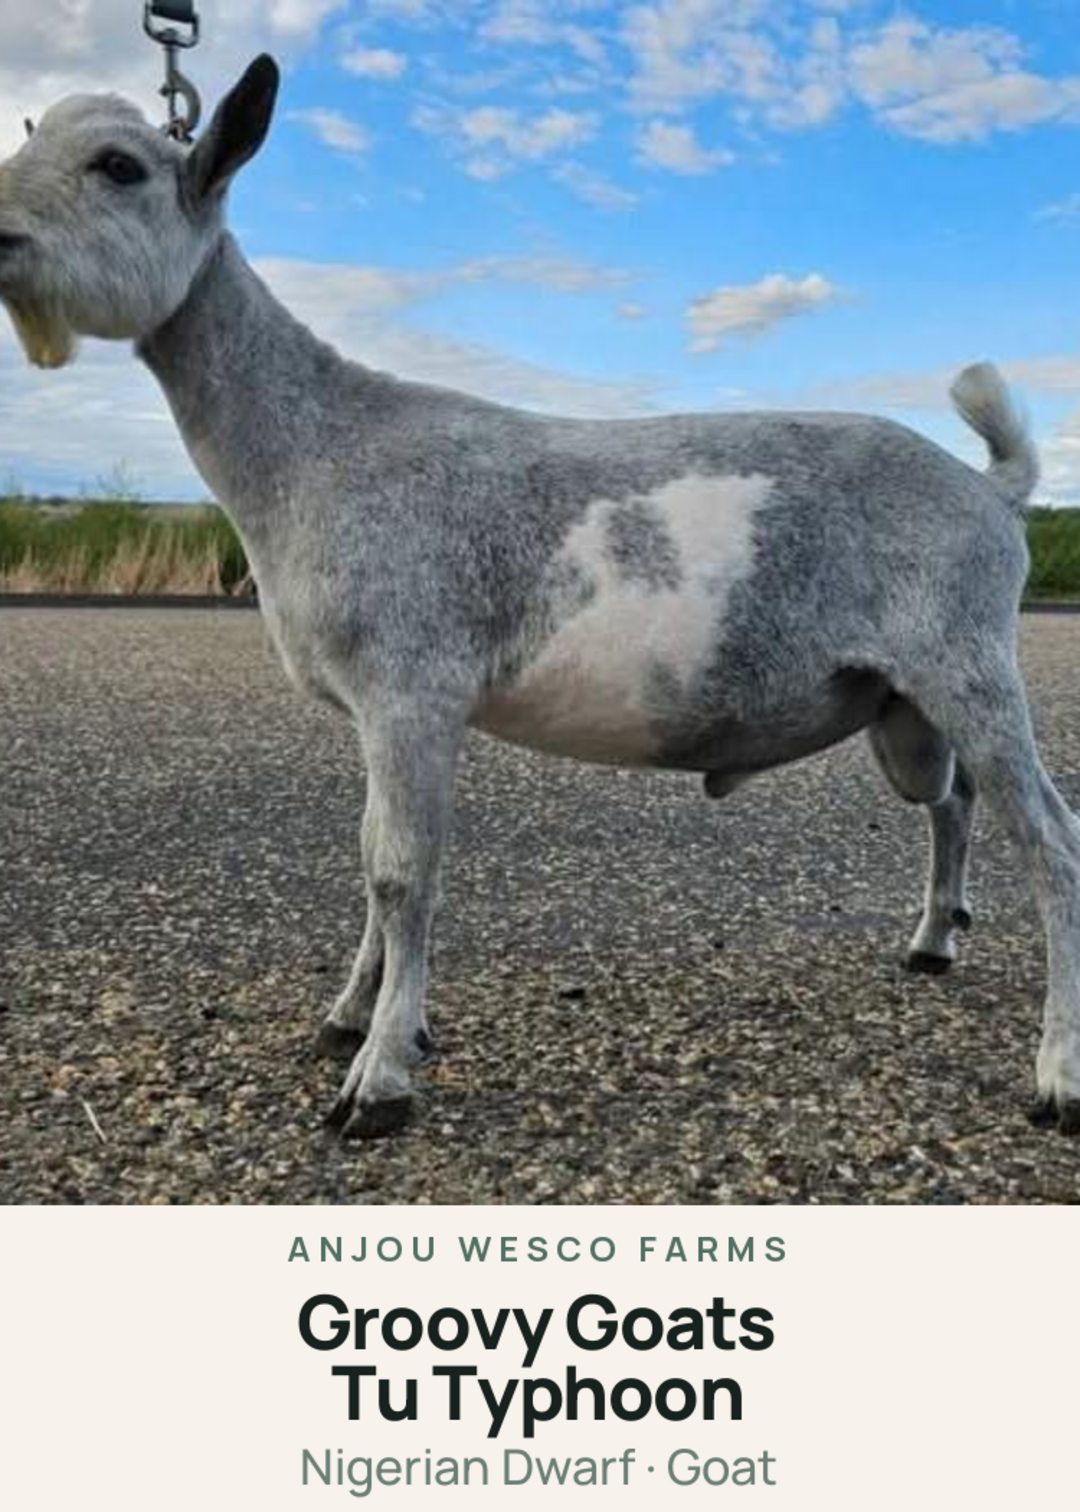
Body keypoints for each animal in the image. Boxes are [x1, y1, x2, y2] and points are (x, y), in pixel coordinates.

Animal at [1, 57, 1075, 1140]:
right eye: (31, 131)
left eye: (118, 165)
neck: (320, 446)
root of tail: (993, 490)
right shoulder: (376, 712)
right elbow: (369, 858)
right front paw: (349, 1017)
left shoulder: (413, 691)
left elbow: (401, 872)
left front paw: (381, 1076)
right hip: (910, 704)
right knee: (954, 799)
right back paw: (934, 941)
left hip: (965, 658)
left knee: (1050, 841)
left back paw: (1058, 1073)